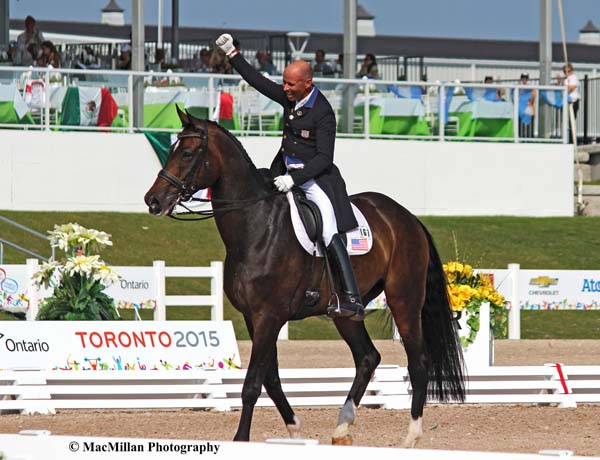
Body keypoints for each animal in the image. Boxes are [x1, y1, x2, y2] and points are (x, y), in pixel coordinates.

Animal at [144, 108, 464, 446]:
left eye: (187, 153)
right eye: (171, 150)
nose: (153, 200)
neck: (255, 226)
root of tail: (407, 217)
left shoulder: (269, 315)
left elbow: (253, 383)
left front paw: (241, 439)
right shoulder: (253, 316)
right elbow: (270, 378)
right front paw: (294, 428)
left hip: (405, 299)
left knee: (418, 362)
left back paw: (411, 436)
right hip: (345, 313)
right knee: (367, 357)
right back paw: (342, 427)